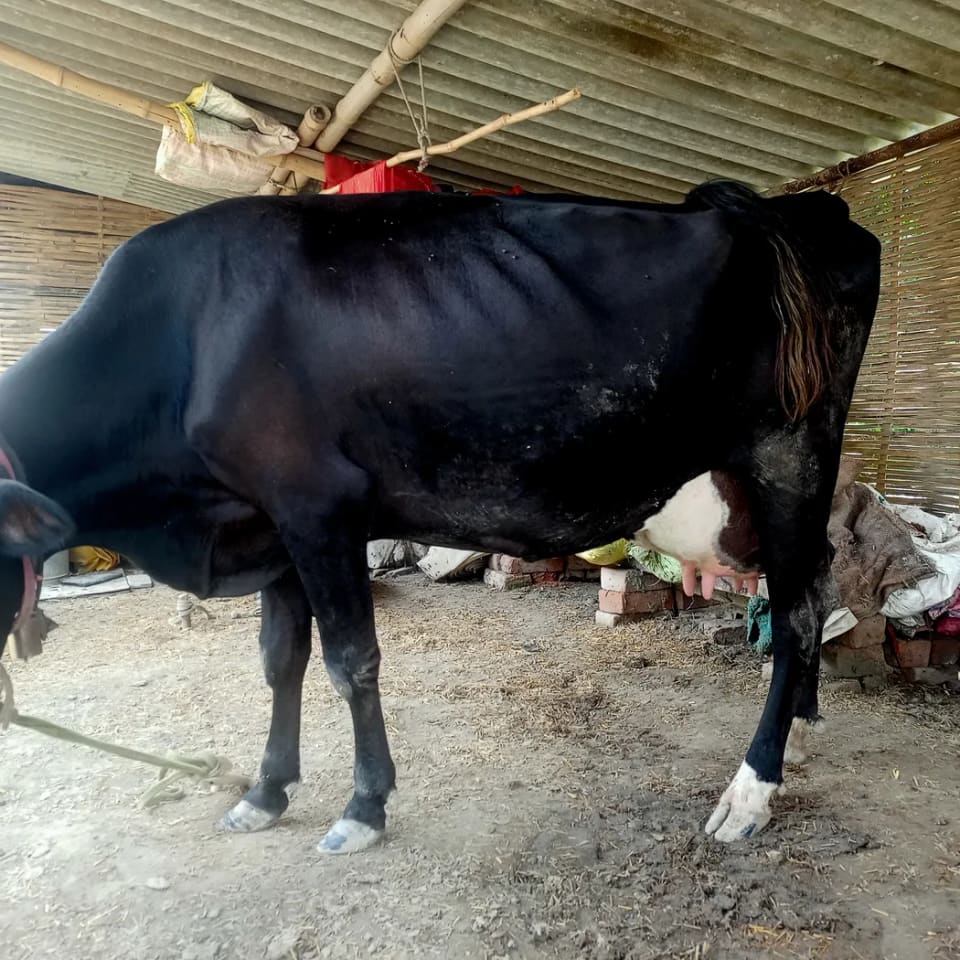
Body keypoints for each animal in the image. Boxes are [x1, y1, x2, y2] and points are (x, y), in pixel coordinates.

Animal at [0, 181, 881, 853]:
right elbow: (280, 659)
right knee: (815, 586)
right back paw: (804, 728)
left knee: (798, 615)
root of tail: (798, 207)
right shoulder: (269, 521)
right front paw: (266, 791)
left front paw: (363, 807)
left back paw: (752, 788)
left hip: (790, 457)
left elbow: (350, 661)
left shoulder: (317, 506)